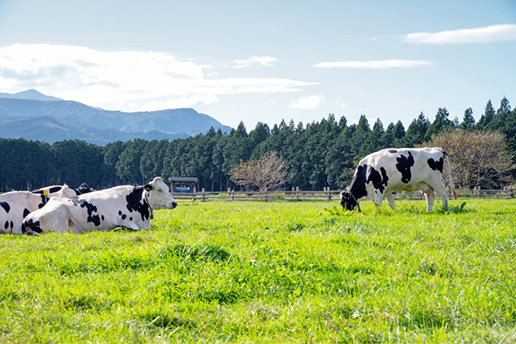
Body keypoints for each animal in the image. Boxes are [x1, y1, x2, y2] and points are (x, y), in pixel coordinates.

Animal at [21, 176, 177, 235]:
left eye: (168, 188)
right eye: (159, 189)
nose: (174, 203)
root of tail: (26, 219)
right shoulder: (125, 221)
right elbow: (131, 229)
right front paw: (116, 229)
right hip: (60, 220)